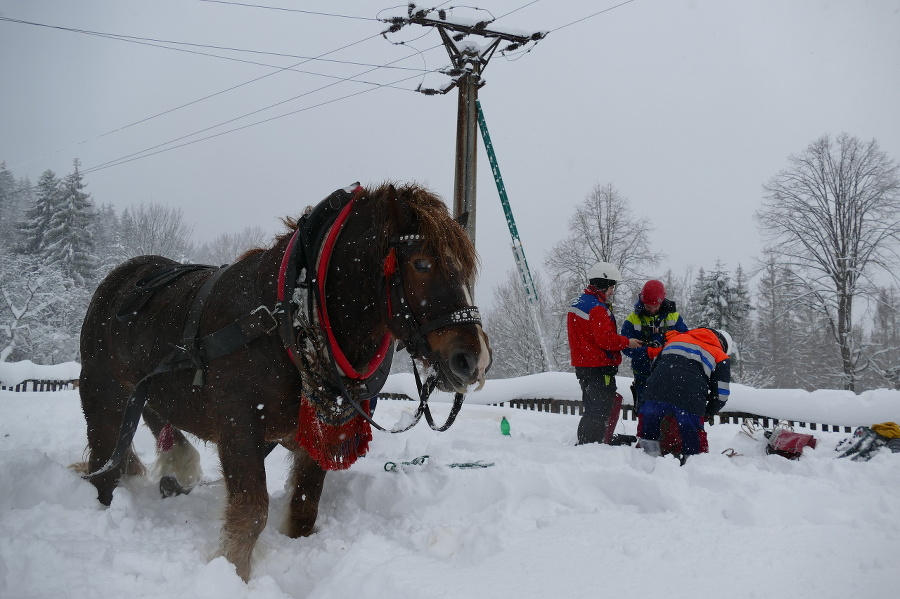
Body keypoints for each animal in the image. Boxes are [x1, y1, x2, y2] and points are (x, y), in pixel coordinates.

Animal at [79, 182, 492, 580]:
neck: (288, 316)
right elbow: (250, 512)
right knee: (105, 463)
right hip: (103, 396)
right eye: (422, 263)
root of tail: (121, 275)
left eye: (466, 270)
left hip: (149, 390)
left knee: (153, 415)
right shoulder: (238, 427)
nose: (474, 360)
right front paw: (234, 573)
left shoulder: (321, 431)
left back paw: (175, 468)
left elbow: (305, 507)